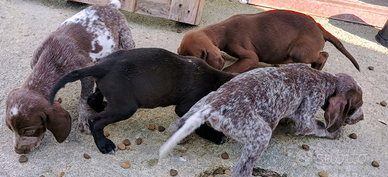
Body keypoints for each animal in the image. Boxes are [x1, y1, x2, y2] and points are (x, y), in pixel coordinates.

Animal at [3, 0, 135, 153]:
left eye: (29, 131)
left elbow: (84, 98)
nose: (18, 150)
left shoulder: (85, 72)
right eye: (10, 128)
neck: (51, 60)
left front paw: (84, 119)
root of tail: (110, 6)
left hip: (125, 38)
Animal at [48, 48, 236, 153]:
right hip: (126, 107)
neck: (215, 79)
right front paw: (216, 136)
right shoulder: (187, 107)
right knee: (95, 120)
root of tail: (102, 66)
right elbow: (199, 125)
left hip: (109, 92)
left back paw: (102, 106)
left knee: (93, 100)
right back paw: (104, 145)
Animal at [158, 63, 364, 177]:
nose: (361, 117)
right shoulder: (306, 117)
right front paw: (334, 132)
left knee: (176, 125)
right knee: (240, 171)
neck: (322, 78)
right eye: (357, 105)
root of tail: (214, 105)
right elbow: (318, 126)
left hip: (197, 106)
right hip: (261, 134)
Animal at [179, 9, 360, 73]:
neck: (223, 30)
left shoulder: (250, 56)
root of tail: (319, 28)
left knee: (323, 54)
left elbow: (231, 68)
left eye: (193, 58)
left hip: (300, 52)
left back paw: (317, 67)